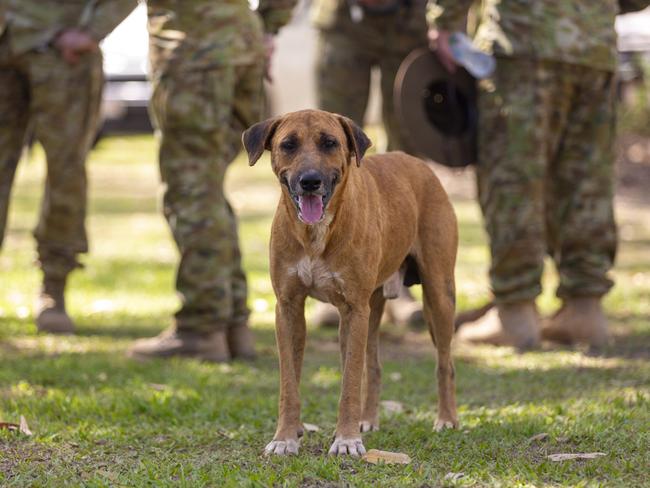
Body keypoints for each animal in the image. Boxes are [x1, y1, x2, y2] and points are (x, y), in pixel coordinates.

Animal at [240, 108, 458, 456]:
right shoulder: (288, 307)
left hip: (438, 296)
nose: (310, 181)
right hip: (373, 306)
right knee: (374, 366)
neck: (315, 234)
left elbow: (349, 382)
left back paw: (447, 419)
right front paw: (286, 436)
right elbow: (290, 383)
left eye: (330, 142)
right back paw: (368, 420)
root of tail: (419, 163)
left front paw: (346, 439)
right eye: (288, 144)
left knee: (444, 363)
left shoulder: (354, 308)